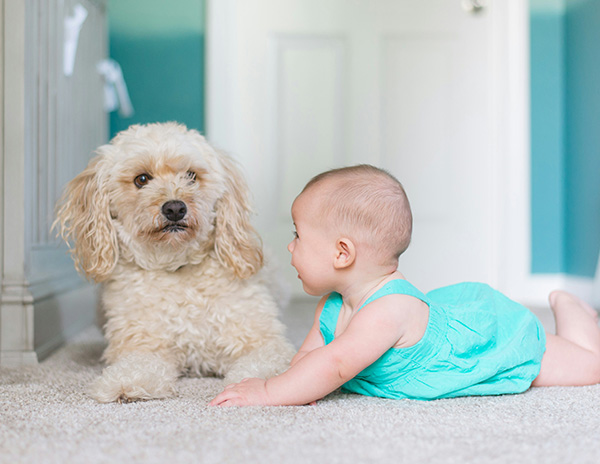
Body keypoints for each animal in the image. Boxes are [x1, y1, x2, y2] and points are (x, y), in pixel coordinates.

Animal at [55, 122, 294, 402]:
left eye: (191, 175)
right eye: (142, 179)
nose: (175, 209)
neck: (176, 266)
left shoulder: (263, 341)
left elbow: (264, 364)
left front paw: (256, 386)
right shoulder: (143, 344)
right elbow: (138, 365)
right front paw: (125, 383)